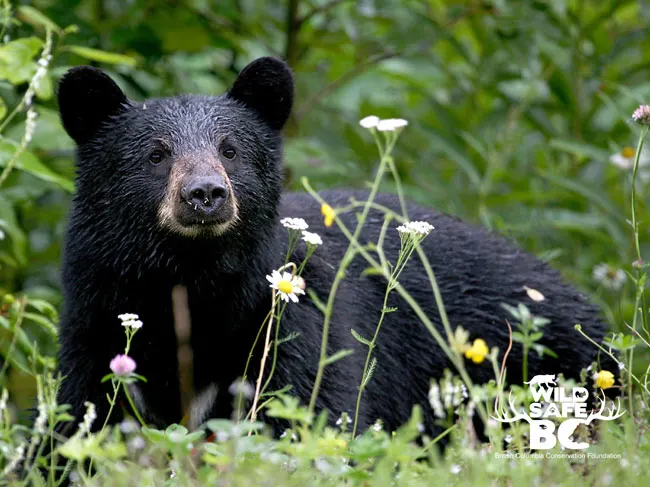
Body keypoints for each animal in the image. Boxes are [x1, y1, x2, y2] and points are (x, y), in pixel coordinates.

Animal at [55, 56, 608, 438]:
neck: (193, 280)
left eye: (230, 151)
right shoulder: (96, 313)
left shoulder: (291, 319)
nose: (206, 194)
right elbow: (81, 414)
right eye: (156, 155)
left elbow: (311, 405)